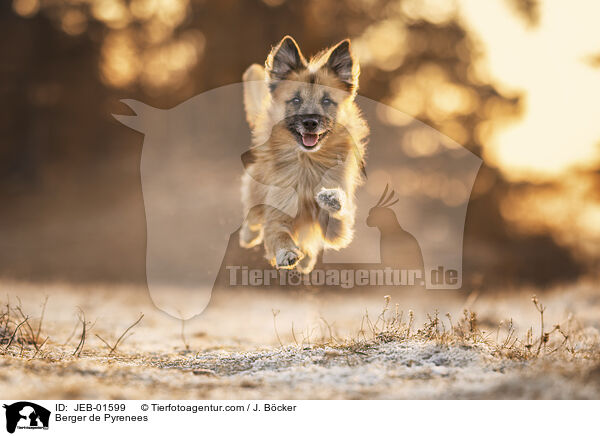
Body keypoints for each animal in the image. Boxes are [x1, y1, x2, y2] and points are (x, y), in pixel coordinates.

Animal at [241, 35, 368, 272]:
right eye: (296, 100)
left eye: (326, 101)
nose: (310, 122)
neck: (308, 164)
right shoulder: (278, 214)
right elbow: (278, 234)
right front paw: (286, 253)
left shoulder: (338, 230)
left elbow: (340, 213)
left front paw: (331, 198)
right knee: (252, 215)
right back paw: (248, 235)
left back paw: (307, 259)